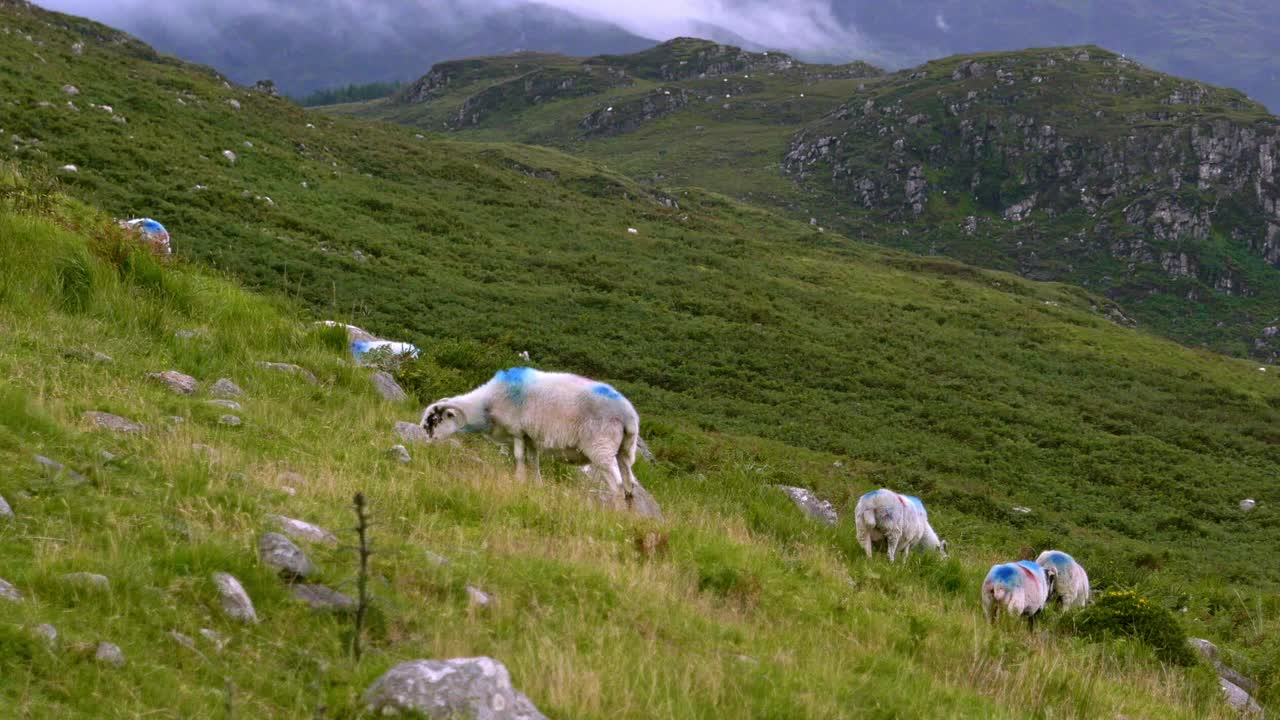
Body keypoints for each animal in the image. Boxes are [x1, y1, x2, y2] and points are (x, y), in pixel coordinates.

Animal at [419, 366, 640, 497]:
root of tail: (629, 415)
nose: (424, 444)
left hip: (600, 447)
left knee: (618, 485)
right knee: (629, 485)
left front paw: (518, 480)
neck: (486, 406)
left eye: (434, 420)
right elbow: (534, 462)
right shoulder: (530, 437)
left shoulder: (517, 431)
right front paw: (537, 485)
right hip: (624, 450)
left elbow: (519, 457)